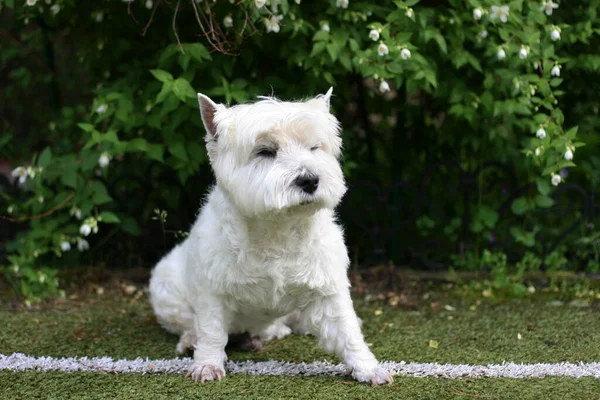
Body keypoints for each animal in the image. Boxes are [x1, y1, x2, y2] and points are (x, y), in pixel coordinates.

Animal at [149, 89, 394, 386]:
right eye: (265, 151)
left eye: (314, 148)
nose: (310, 180)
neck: (279, 228)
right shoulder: (212, 290)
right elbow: (211, 330)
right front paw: (207, 365)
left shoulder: (327, 287)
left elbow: (347, 331)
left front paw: (369, 369)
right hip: (166, 286)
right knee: (188, 323)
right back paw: (193, 340)